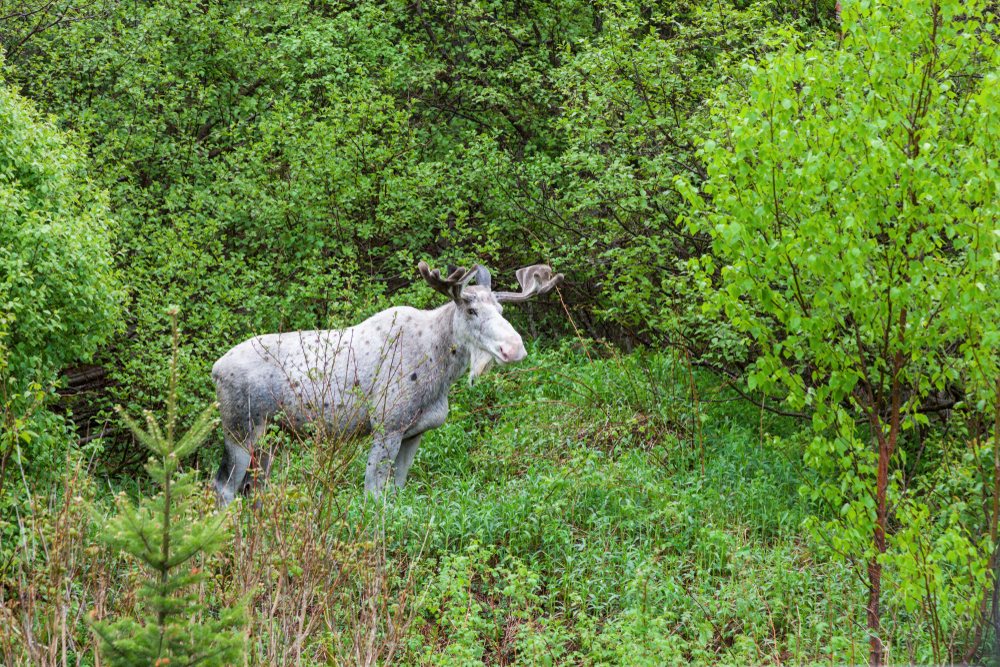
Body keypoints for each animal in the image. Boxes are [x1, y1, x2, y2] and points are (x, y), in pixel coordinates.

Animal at [211, 262, 564, 505]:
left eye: (502, 309)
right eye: (472, 310)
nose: (514, 348)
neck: (440, 370)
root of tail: (215, 369)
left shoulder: (414, 433)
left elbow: (396, 491)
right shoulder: (387, 426)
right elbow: (373, 493)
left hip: (273, 438)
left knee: (255, 489)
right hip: (240, 430)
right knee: (224, 487)